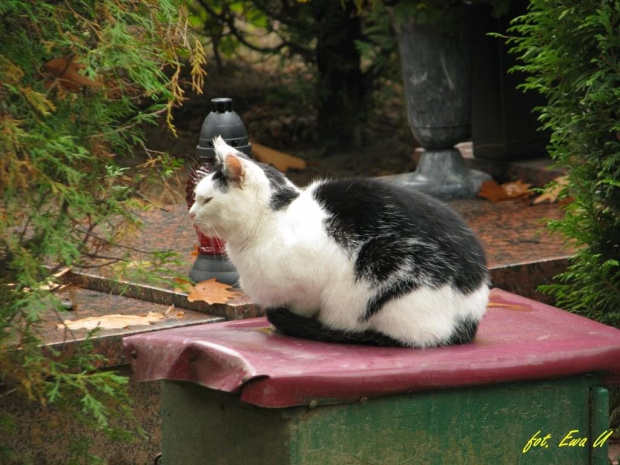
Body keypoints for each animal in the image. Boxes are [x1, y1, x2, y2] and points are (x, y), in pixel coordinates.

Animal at [189, 136, 490, 346]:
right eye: (195, 196)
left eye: (207, 199)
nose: (191, 213)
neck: (273, 218)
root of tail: (472, 315)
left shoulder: (304, 291)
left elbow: (301, 307)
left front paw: (284, 326)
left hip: (384, 262)